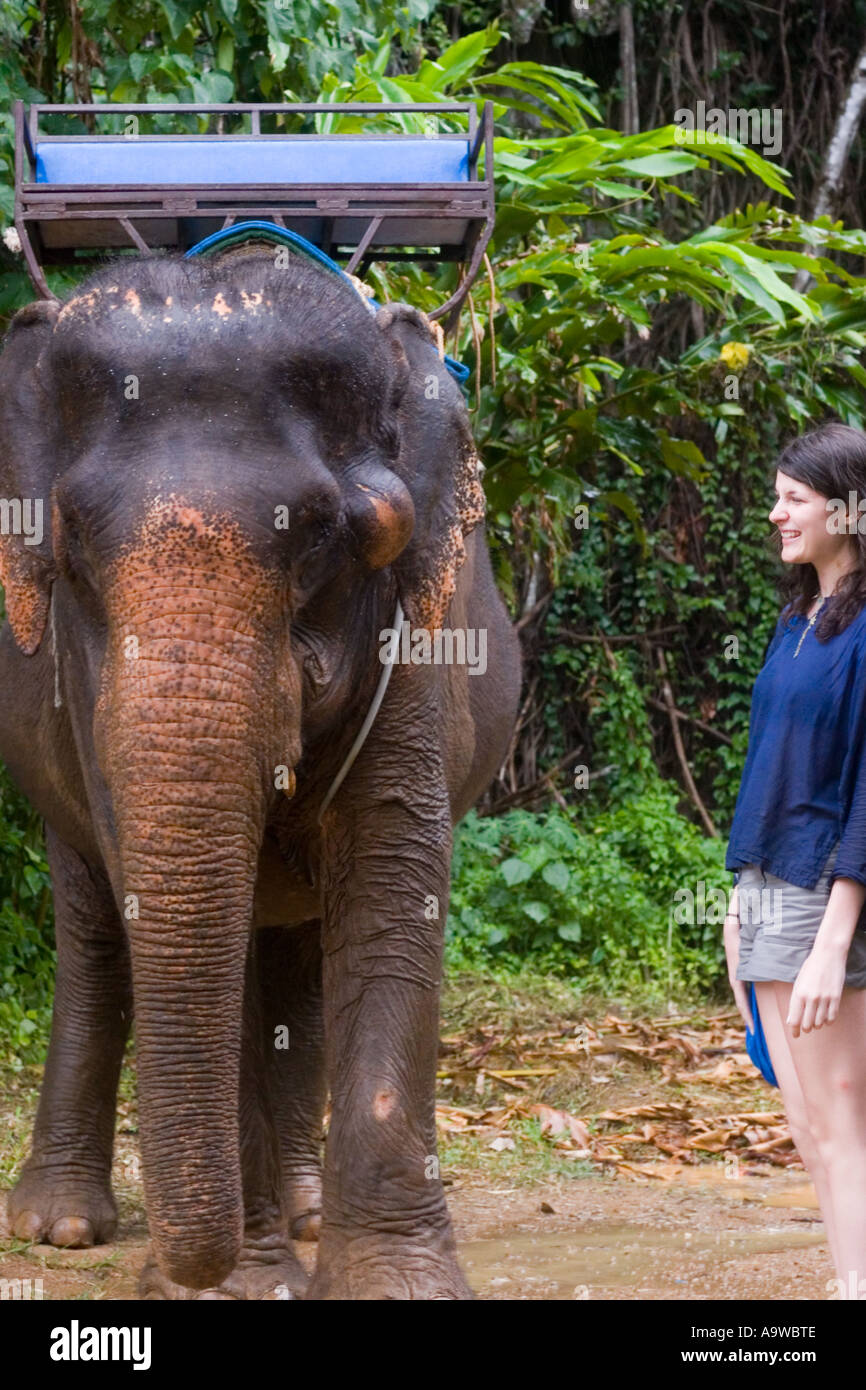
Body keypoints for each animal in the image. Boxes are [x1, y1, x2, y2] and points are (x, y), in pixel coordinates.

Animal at [0, 246, 522, 1300]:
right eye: (73, 545)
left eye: (320, 532)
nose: (188, 1268)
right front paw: (242, 1282)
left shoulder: (418, 641)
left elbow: (390, 887)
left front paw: (390, 1282)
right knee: (95, 930)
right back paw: (61, 1225)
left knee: (301, 960)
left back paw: (309, 1209)